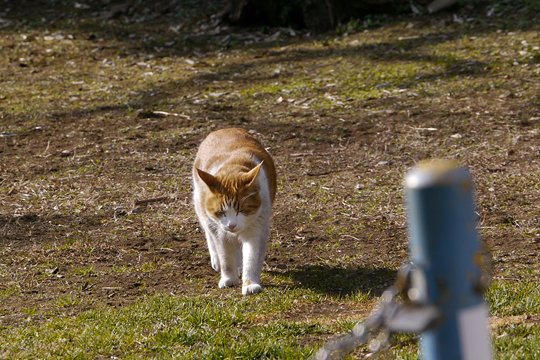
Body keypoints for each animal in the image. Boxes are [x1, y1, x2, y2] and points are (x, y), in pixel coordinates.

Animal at [192, 128, 276, 294]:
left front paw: (250, 283)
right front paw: (228, 278)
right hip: (200, 205)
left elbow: (251, 258)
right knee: (209, 233)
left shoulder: (257, 229)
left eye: (241, 210)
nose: (231, 225)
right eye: (221, 212)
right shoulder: (220, 230)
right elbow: (226, 257)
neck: (233, 168)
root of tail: (224, 129)